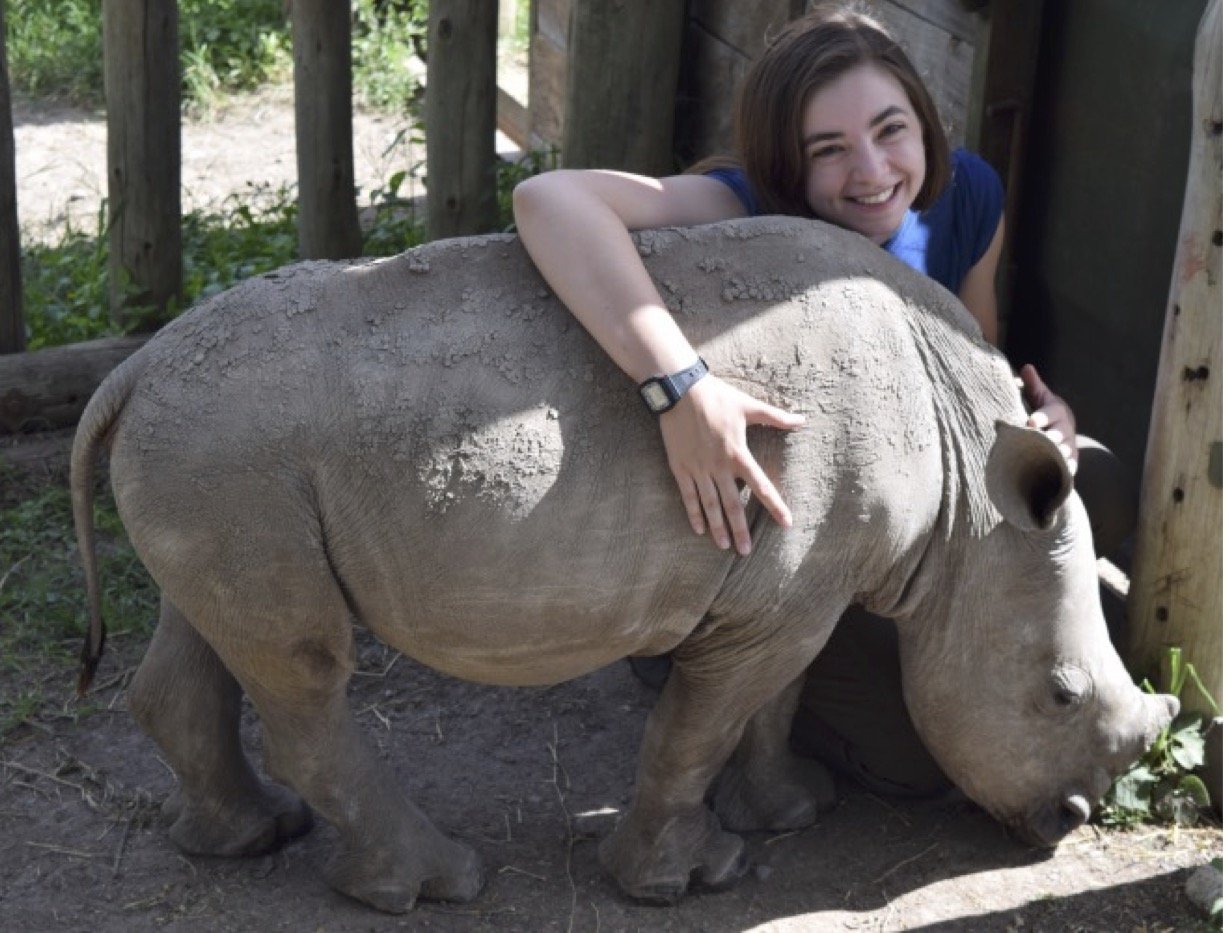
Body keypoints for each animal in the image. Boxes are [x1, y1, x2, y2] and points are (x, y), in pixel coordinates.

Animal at [71, 216, 1177, 912]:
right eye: (1059, 695)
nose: (1064, 822)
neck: (969, 494)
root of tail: (130, 374)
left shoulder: (797, 588)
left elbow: (770, 702)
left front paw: (791, 810)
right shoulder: (777, 593)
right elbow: (697, 727)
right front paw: (682, 881)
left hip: (215, 463)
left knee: (215, 631)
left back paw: (253, 837)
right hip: (231, 456)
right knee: (305, 670)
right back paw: (435, 884)